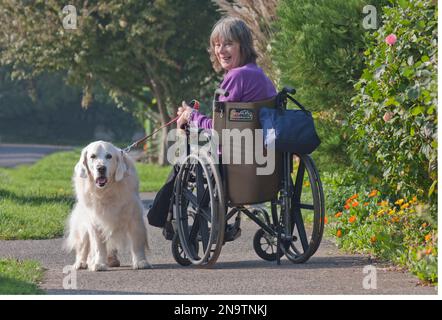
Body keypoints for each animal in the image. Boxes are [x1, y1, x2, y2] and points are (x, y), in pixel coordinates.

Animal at [63, 140, 151, 270]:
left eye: (109, 156)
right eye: (93, 156)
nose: (101, 168)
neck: (106, 191)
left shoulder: (134, 218)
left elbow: (137, 243)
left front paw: (141, 262)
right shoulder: (95, 221)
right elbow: (99, 247)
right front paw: (99, 264)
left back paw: (111, 260)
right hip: (83, 228)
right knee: (83, 247)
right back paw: (81, 263)